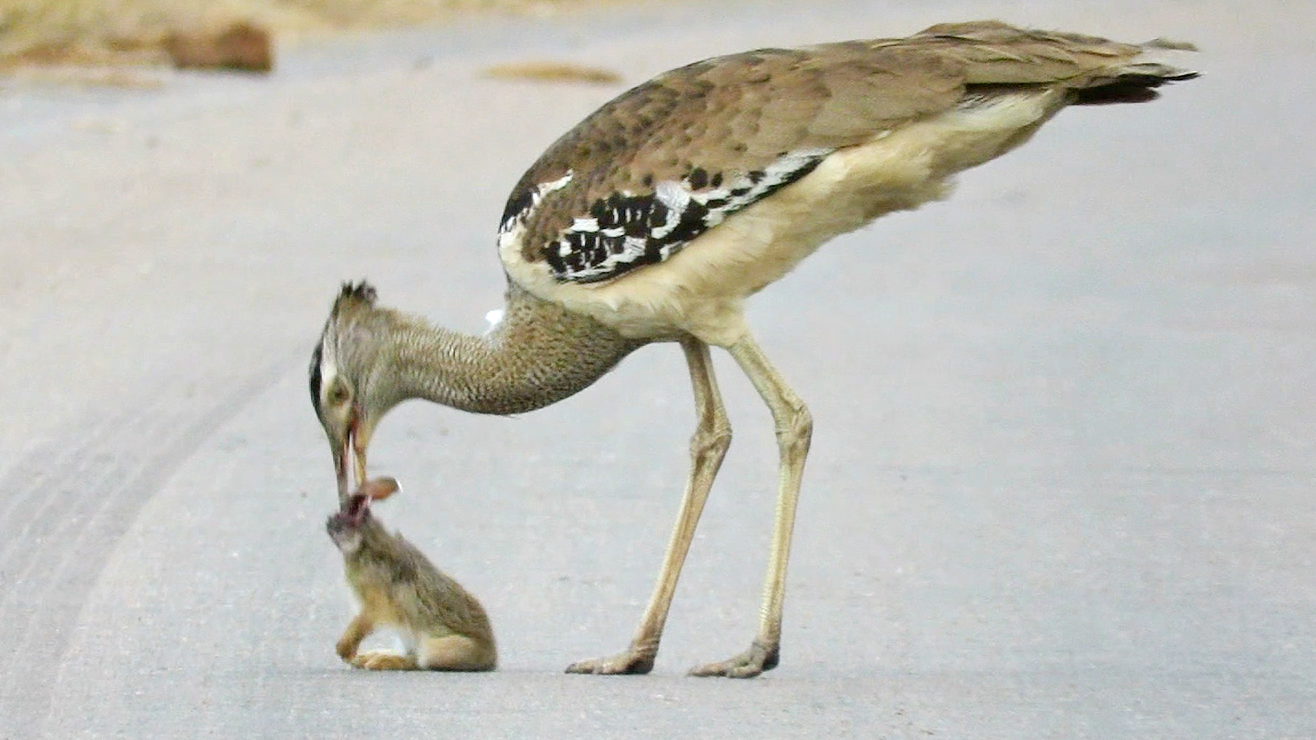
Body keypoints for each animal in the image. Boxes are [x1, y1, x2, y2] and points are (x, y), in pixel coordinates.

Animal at [326, 477, 497, 671]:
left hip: (438, 649)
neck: (366, 543)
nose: (327, 524)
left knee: (417, 662)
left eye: (343, 519)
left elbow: (363, 622)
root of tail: (491, 657)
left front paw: (344, 649)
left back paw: (379, 661)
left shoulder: (375, 602)